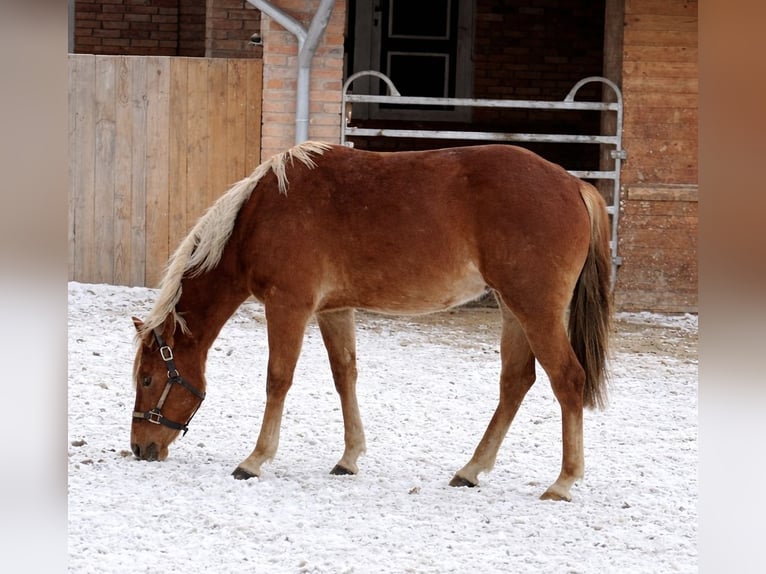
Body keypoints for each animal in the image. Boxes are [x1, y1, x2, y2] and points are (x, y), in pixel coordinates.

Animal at [130, 141, 612, 501]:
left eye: (148, 379)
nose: (139, 447)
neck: (262, 214)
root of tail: (573, 184)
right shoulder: (332, 310)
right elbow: (345, 375)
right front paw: (349, 458)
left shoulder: (289, 306)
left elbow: (278, 379)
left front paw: (255, 459)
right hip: (515, 310)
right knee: (515, 382)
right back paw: (471, 469)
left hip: (535, 309)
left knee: (567, 379)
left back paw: (562, 482)